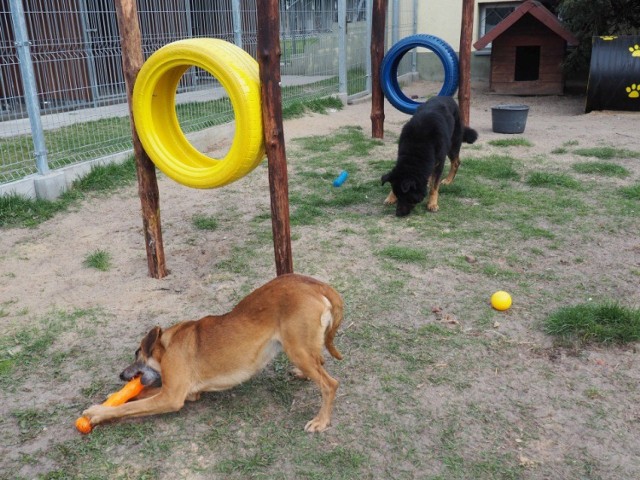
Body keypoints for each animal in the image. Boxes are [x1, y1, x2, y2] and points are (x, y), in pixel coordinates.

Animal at [85, 276, 344, 434]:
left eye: (137, 352)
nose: (121, 375)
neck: (167, 345)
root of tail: (315, 284)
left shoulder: (171, 397)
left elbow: (128, 407)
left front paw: (97, 413)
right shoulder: (183, 393)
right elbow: (141, 393)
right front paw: (113, 397)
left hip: (297, 349)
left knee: (329, 384)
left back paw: (321, 421)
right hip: (300, 348)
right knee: (319, 362)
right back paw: (302, 375)